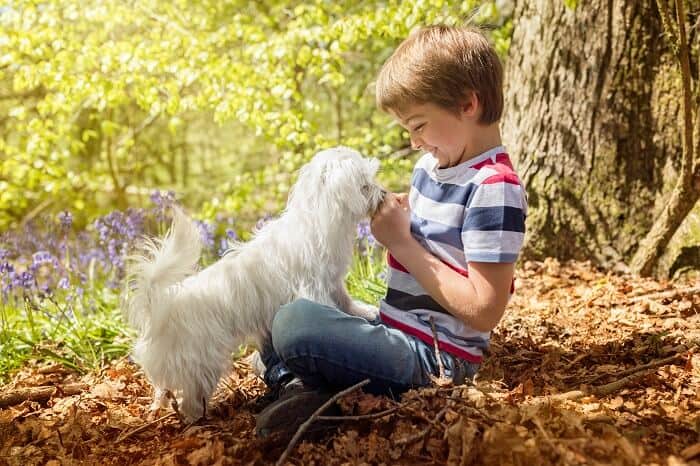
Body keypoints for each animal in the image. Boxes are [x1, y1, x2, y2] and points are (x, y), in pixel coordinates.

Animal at [123, 147, 386, 422]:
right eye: (365, 185)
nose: (383, 194)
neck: (319, 218)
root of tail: (161, 307)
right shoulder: (314, 287)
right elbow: (329, 306)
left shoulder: (333, 280)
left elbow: (345, 299)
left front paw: (363, 312)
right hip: (201, 362)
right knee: (190, 398)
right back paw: (197, 417)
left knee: (163, 386)